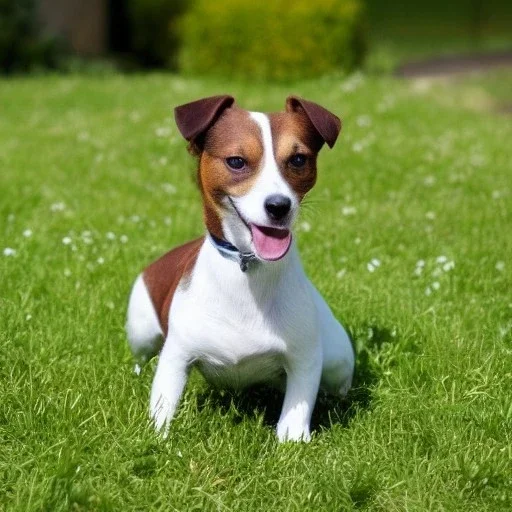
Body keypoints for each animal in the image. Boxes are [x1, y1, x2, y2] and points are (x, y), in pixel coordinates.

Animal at [126, 97, 354, 444]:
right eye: (236, 161)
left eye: (298, 159)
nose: (279, 206)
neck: (248, 270)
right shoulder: (176, 357)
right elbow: (162, 409)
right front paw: (156, 438)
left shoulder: (304, 359)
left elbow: (295, 415)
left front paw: (293, 440)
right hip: (141, 329)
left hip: (338, 358)